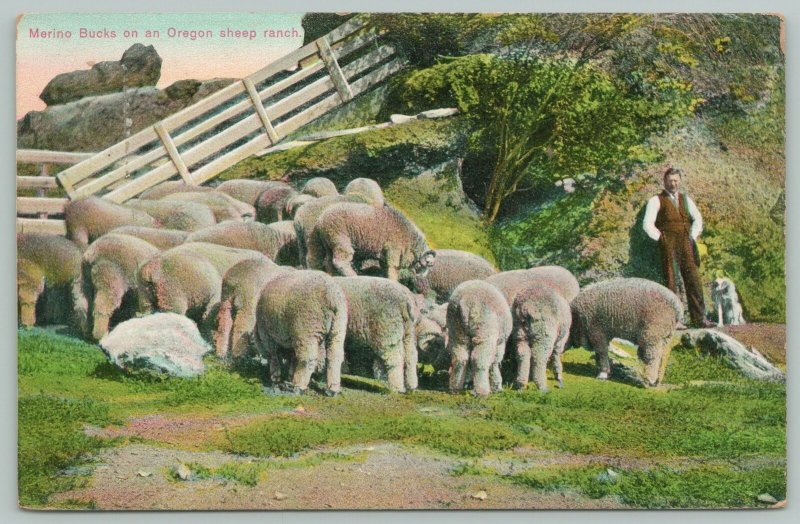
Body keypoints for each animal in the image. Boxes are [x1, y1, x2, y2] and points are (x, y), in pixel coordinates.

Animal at [255, 268, 346, 396]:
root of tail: (331, 295)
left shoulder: (267, 335)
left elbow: (273, 355)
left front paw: (275, 377)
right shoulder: (293, 336)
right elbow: (293, 357)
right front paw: (290, 376)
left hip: (307, 329)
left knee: (308, 358)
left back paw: (299, 386)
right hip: (338, 327)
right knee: (335, 356)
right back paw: (333, 389)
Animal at [306, 202, 434, 282]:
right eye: (428, 264)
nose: (422, 277)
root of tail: (320, 220)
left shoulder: (384, 255)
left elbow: (385, 267)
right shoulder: (393, 250)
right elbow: (393, 268)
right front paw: (394, 282)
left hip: (328, 242)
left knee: (327, 260)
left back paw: (331, 275)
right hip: (340, 238)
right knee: (340, 261)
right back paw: (353, 275)